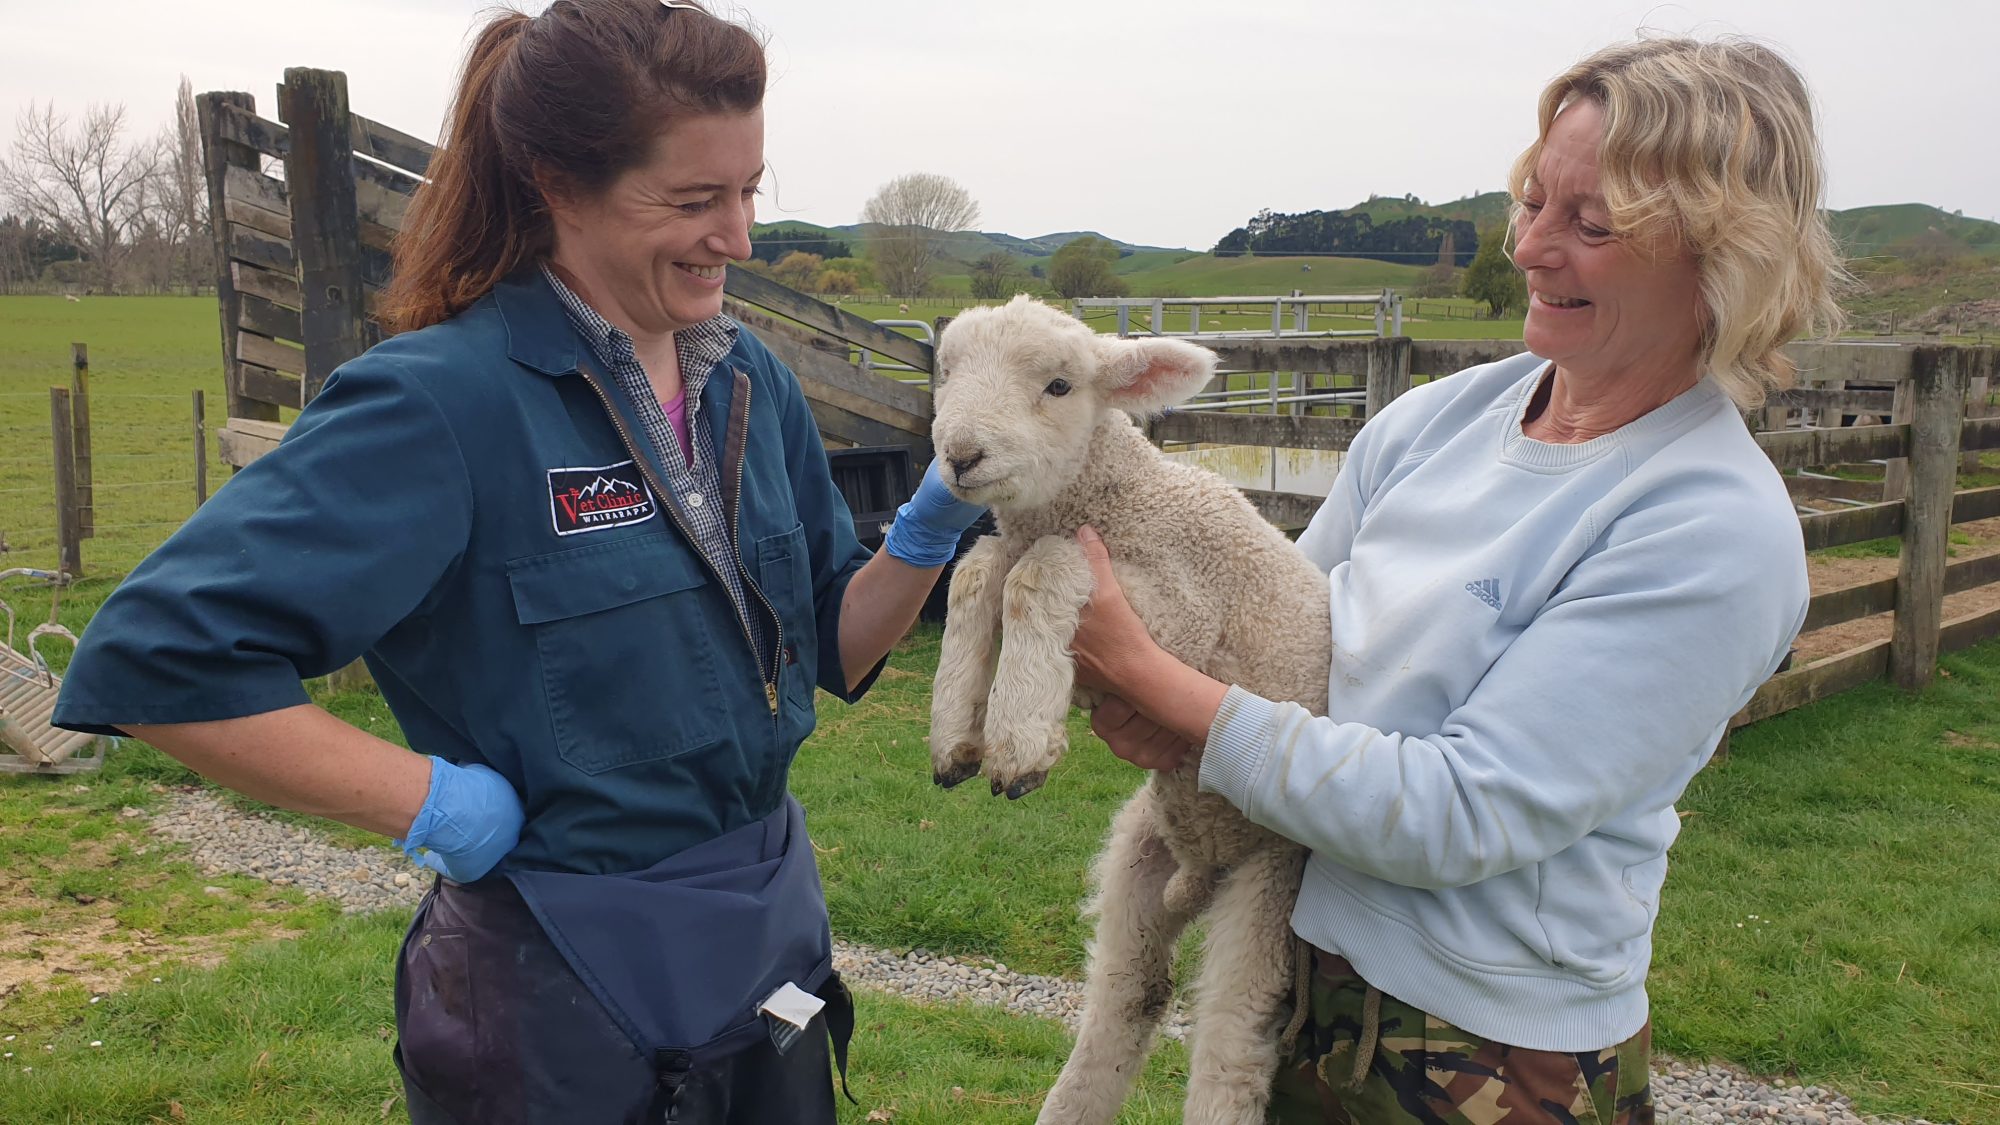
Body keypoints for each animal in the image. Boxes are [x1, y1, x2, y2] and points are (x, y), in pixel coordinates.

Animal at [927, 295, 1333, 1124]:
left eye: (1058, 385)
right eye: (945, 373)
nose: (960, 456)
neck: (1117, 499)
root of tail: (1205, 868)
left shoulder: (1182, 615)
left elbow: (1037, 569)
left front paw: (1018, 739)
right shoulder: (1016, 545)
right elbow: (979, 571)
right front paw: (957, 727)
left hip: (1271, 877)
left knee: (1228, 1047)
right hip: (1139, 856)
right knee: (1130, 993)